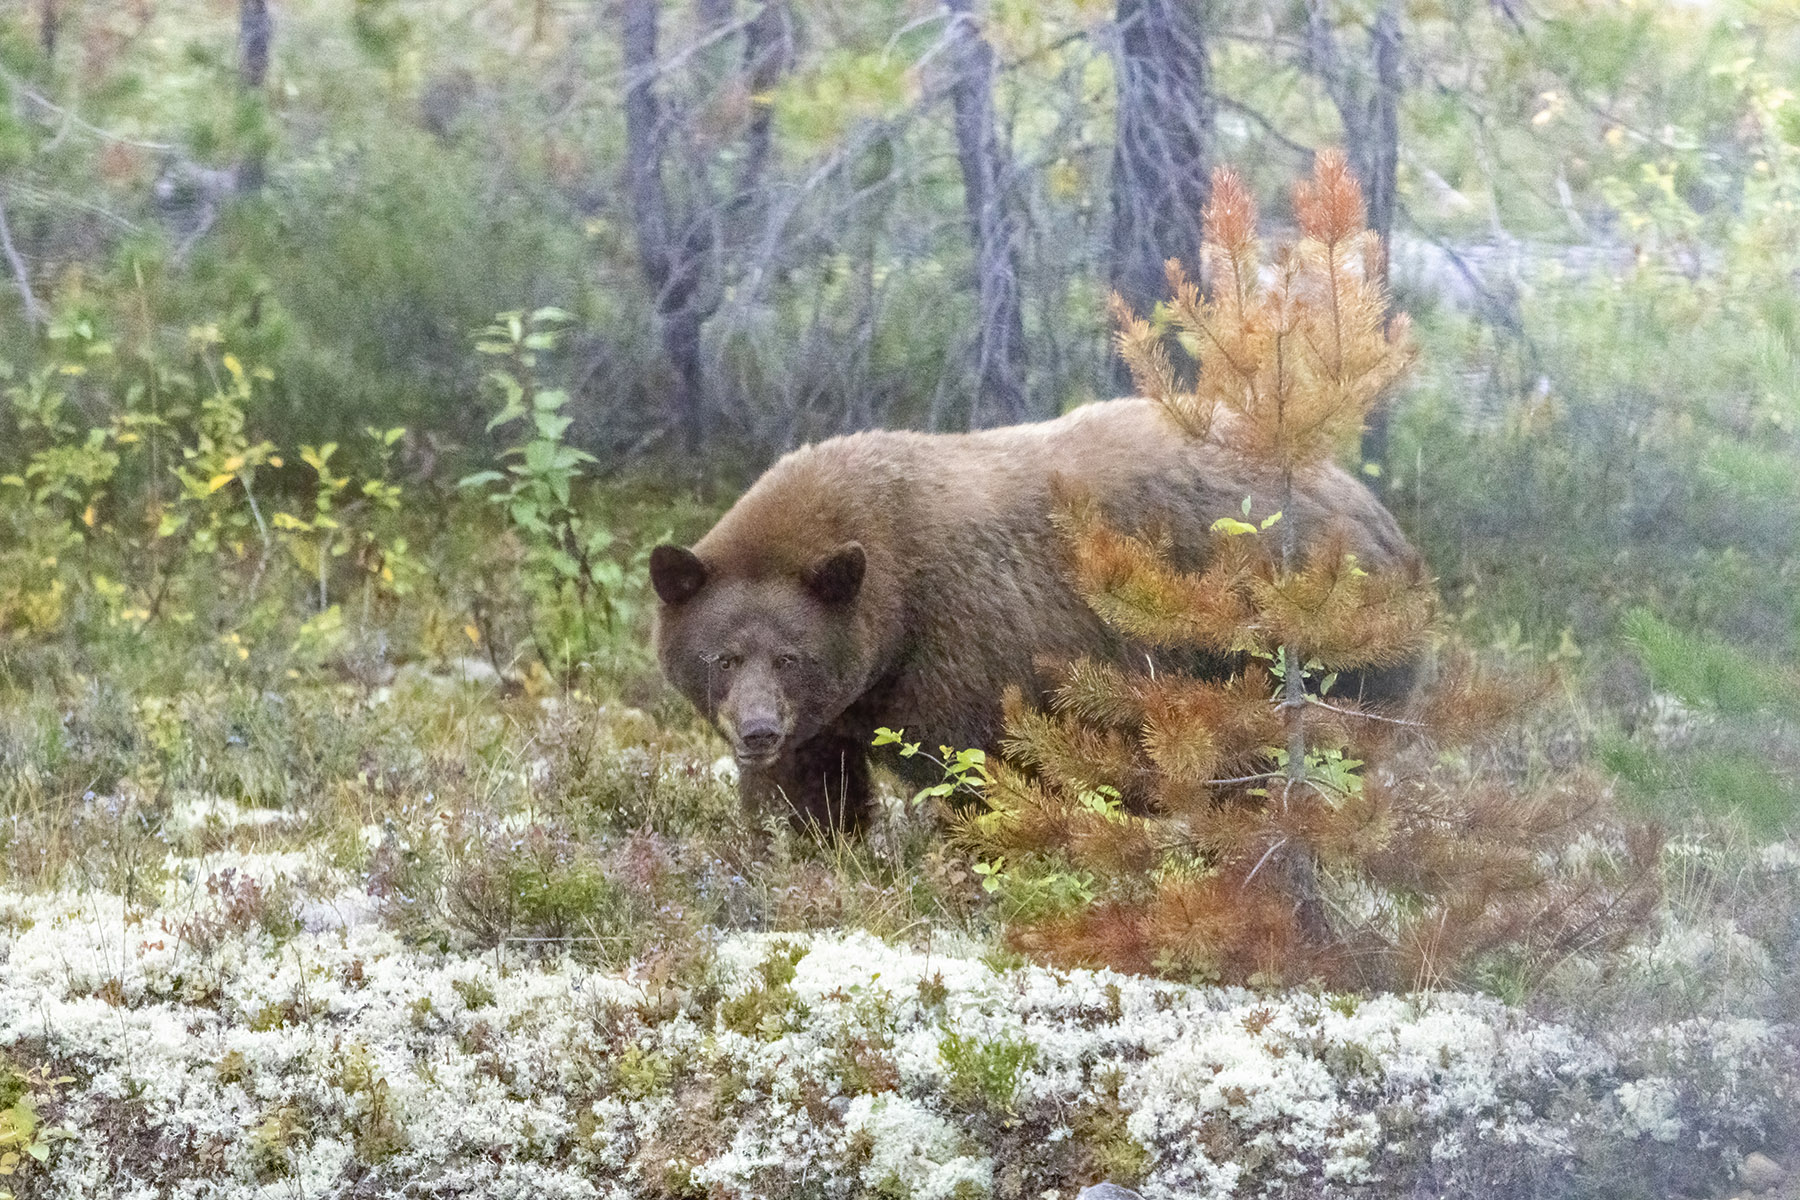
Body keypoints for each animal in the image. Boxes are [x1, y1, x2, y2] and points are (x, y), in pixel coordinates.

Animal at [651, 397, 1419, 832]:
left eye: (790, 655)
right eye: (723, 655)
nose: (756, 729)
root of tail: (1391, 530)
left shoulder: (963, 647)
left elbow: (978, 773)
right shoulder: (831, 713)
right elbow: (808, 789)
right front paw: (808, 844)